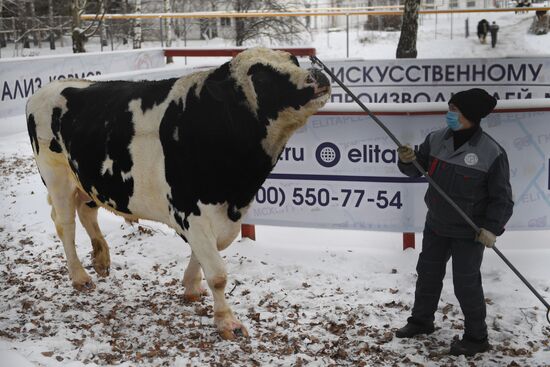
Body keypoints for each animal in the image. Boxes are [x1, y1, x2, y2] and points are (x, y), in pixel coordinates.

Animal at [27, 47, 332, 340]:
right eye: (260, 75)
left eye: (293, 60)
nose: (317, 75)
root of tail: (48, 88)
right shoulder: (191, 210)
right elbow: (217, 272)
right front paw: (227, 322)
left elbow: (205, 253)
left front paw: (191, 286)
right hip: (56, 177)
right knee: (66, 225)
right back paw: (80, 276)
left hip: (90, 180)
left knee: (86, 211)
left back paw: (101, 259)